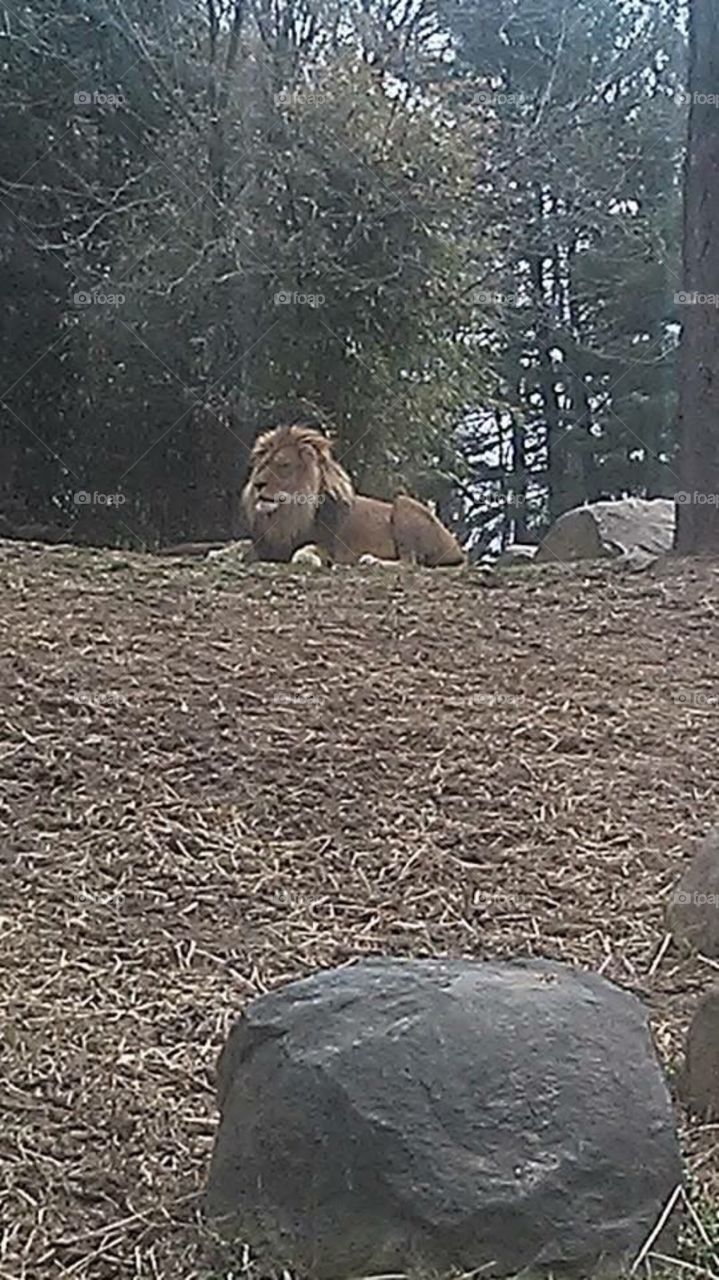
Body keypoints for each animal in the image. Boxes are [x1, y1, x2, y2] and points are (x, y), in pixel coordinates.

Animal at [241, 424, 466, 567]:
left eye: (284, 465)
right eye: (262, 465)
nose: (258, 484)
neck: (286, 516)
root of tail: (457, 548)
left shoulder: (330, 548)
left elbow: (308, 549)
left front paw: (306, 557)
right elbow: (242, 546)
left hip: (403, 504)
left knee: (409, 563)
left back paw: (371, 561)